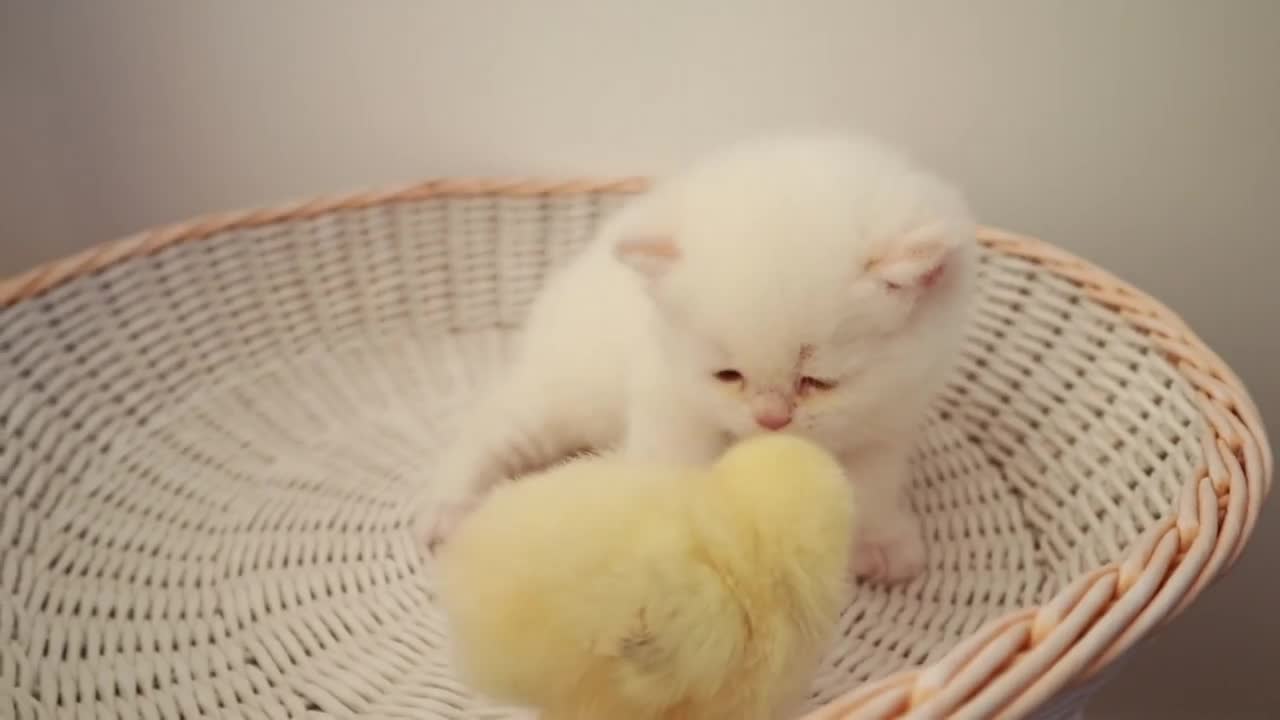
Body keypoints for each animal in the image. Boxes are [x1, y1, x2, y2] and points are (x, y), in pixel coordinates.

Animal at [424, 133, 972, 584]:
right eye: (728, 375)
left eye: (818, 381)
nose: (771, 419)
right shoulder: (668, 395)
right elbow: (676, 462)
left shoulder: (890, 416)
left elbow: (870, 482)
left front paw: (881, 540)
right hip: (560, 388)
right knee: (493, 426)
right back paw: (450, 506)